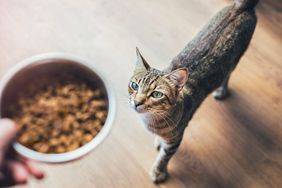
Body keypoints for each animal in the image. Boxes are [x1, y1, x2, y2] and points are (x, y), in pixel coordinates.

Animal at [128, 0, 258, 183]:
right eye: (134, 85)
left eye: (157, 94)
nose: (137, 102)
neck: (151, 120)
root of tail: (242, 6)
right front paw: (159, 141)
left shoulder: (176, 140)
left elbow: (164, 157)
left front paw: (158, 171)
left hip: (235, 60)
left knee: (228, 75)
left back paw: (222, 91)